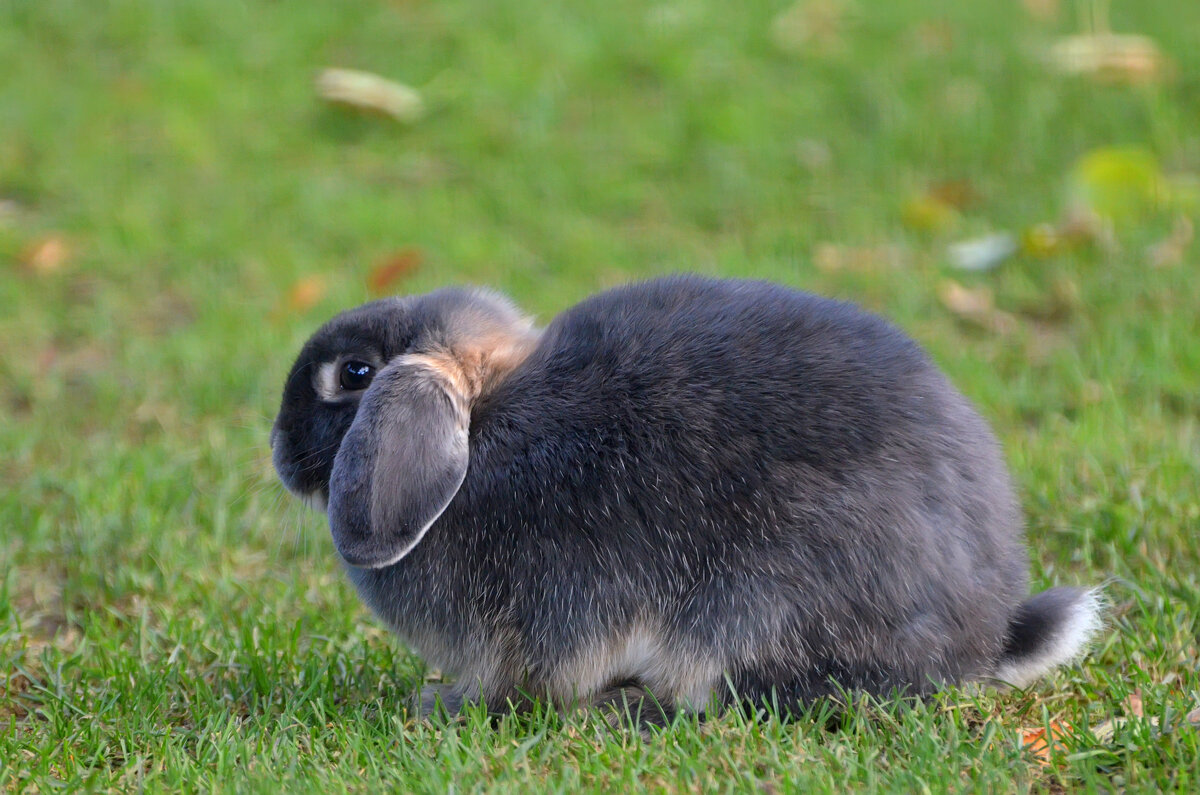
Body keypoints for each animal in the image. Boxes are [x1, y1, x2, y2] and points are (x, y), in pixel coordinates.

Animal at [270, 273, 1099, 720]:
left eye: (352, 375)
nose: (277, 451)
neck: (480, 427)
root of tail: (985, 638)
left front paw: (446, 704)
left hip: (756, 603)